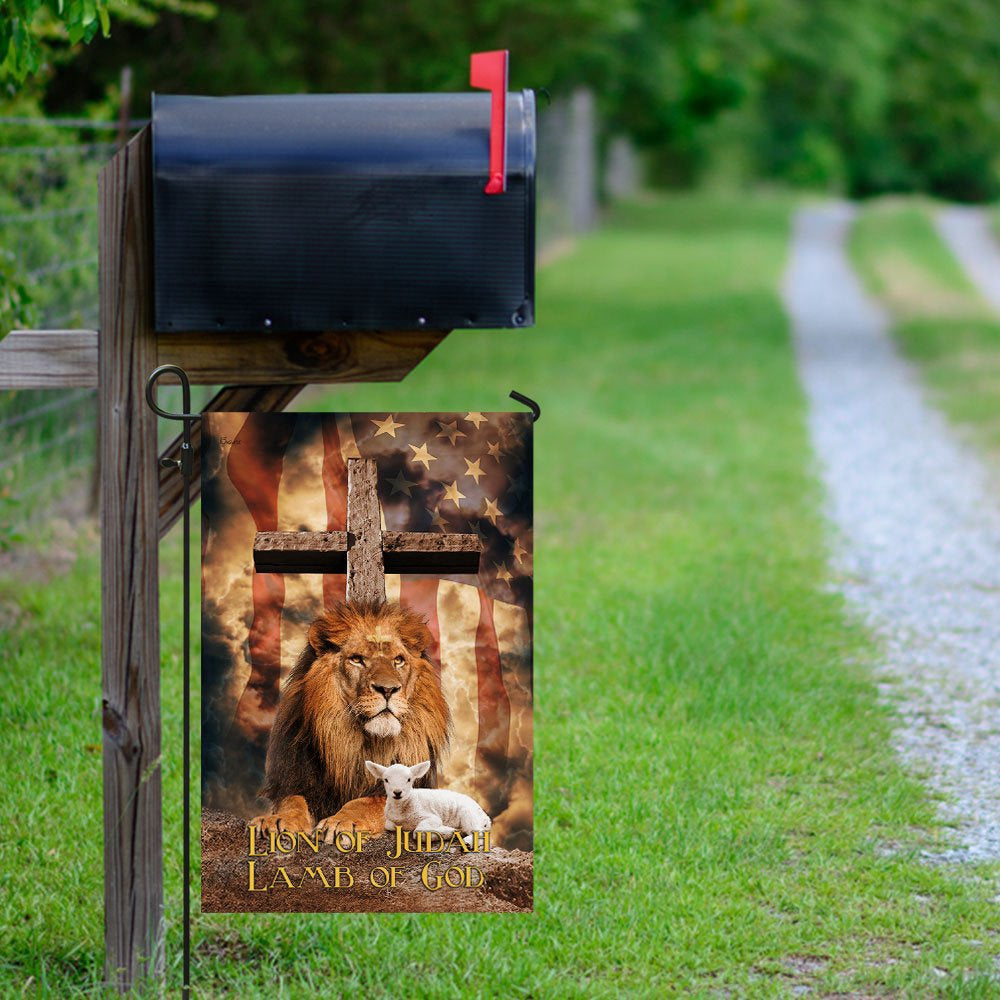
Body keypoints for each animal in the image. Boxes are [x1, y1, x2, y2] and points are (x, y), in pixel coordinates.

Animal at [249, 601, 451, 840]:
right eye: (357, 659)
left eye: (398, 660)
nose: (388, 689)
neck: (356, 744)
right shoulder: (299, 780)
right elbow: (292, 801)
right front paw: (277, 821)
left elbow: (366, 802)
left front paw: (341, 821)